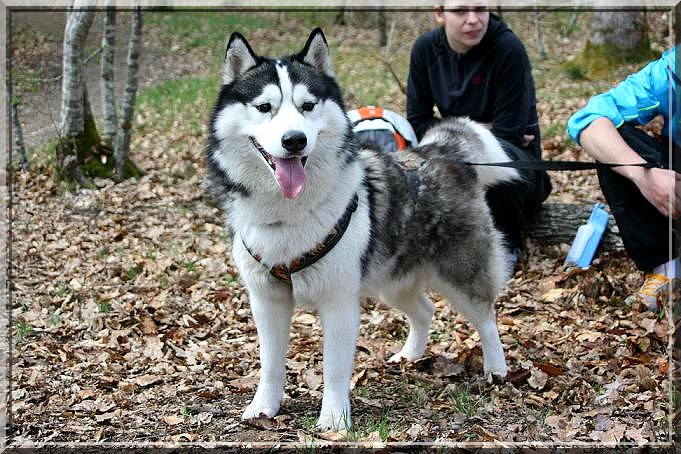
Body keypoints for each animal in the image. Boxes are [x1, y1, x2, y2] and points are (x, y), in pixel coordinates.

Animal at [205, 29, 516, 432]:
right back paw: (410, 355)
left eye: (307, 106)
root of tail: (437, 152)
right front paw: (264, 407)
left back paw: (496, 369)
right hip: (392, 280)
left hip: (460, 273)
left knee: (486, 317)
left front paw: (335, 420)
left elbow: (335, 370)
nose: (294, 140)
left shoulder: (339, 302)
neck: (289, 213)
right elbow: (270, 364)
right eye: (263, 107)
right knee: (425, 310)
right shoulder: (266, 300)